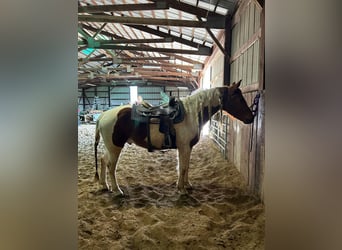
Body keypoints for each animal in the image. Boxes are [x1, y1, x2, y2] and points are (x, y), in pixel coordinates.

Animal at [93, 80, 254, 195]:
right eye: (238, 98)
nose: (251, 118)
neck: (190, 114)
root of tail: (103, 115)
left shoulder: (186, 148)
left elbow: (185, 166)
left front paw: (186, 185)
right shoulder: (184, 147)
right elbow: (182, 167)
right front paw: (182, 189)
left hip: (111, 147)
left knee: (103, 160)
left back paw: (104, 185)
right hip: (115, 146)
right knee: (111, 166)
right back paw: (116, 190)